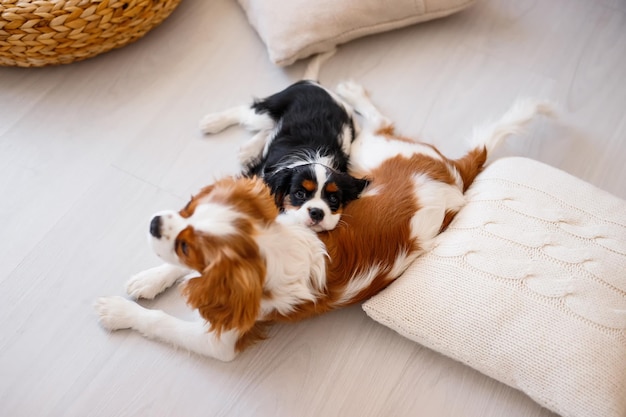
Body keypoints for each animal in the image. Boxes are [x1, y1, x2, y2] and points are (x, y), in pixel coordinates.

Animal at [94, 82, 552, 360]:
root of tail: (456, 169)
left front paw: (118, 312)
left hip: (366, 152)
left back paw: (349, 94)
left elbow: (161, 320)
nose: (154, 222)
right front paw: (149, 279)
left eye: (189, 244)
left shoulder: (221, 336)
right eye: (190, 211)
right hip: (364, 153)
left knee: (375, 123)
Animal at [199, 52, 366, 231]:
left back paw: (249, 150)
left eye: (333, 199)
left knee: (268, 129)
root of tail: (314, 84)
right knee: (245, 111)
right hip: (269, 110)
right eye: (300, 194)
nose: (317, 212)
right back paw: (212, 122)